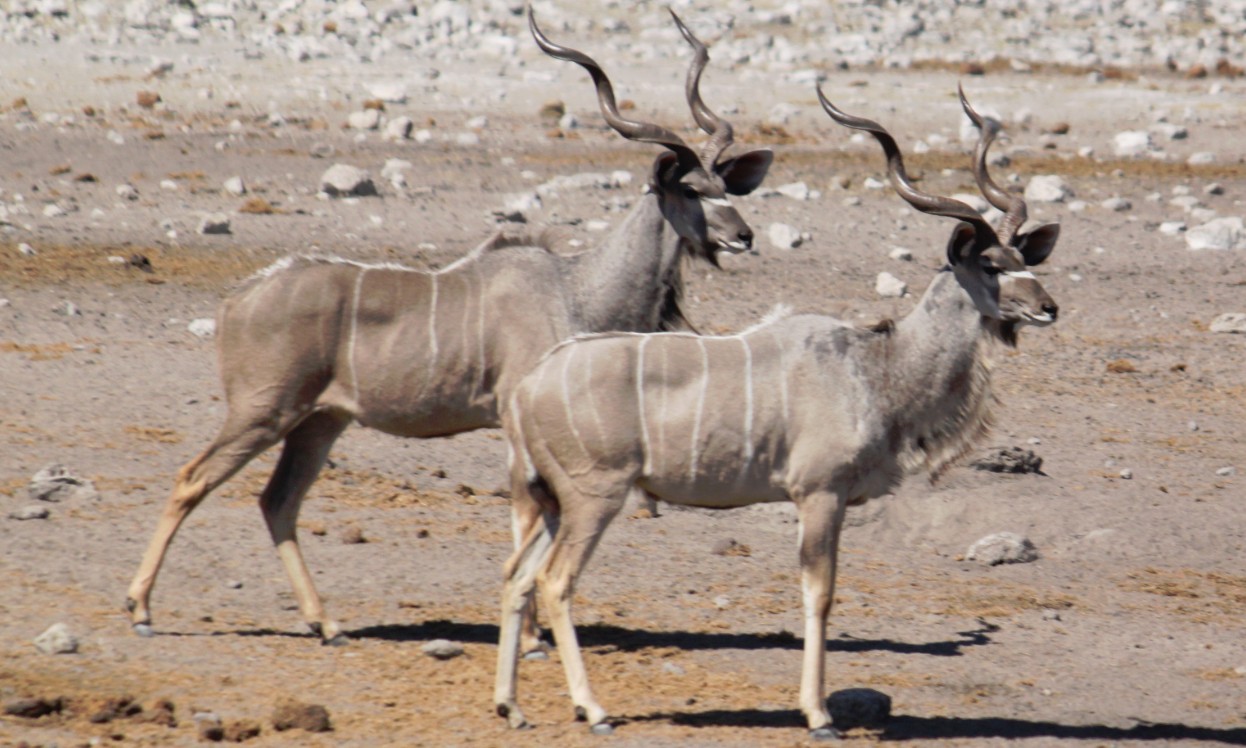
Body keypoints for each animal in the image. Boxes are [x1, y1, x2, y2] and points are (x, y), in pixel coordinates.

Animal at [123, 7, 767, 643]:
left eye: (724, 187)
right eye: (690, 189)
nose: (744, 235)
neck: (576, 289)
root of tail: (239, 298)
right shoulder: (514, 420)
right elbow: (526, 516)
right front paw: (530, 637)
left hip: (319, 422)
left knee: (278, 502)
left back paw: (325, 622)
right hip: (263, 411)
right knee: (192, 478)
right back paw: (142, 609)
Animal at [495, 87, 1061, 738]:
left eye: (1024, 257)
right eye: (991, 266)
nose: (1049, 306)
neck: (875, 367)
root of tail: (529, 388)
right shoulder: (819, 495)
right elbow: (820, 593)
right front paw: (818, 715)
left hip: (553, 502)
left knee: (516, 574)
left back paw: (511, 707)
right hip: (594, 498)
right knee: (555, 580)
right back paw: (594, 710)